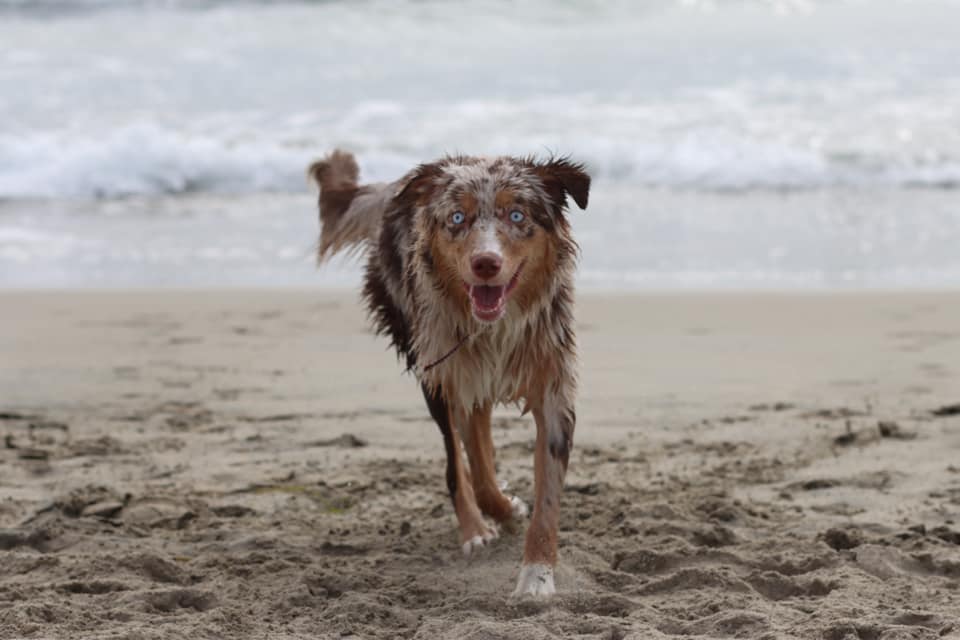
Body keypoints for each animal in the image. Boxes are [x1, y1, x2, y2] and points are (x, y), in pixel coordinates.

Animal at [312, 149, 588, 596]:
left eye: (516, 214)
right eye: (457, 218)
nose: (486, 263)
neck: (494, 328)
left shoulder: (552, 381)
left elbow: (546, 496)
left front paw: (536, 575)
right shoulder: (448, 372)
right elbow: (467, 465)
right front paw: (494, 516)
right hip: (433, 364)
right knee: (458, 455)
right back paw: (477, 524)